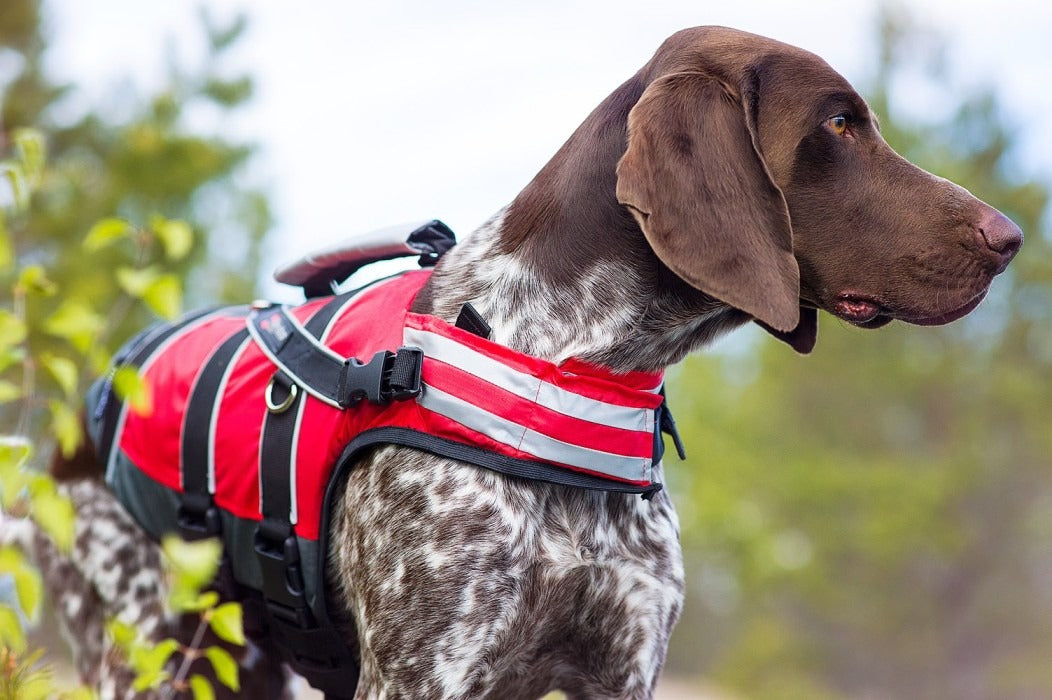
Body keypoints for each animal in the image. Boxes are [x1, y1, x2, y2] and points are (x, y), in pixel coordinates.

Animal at [16, 24, 1018, 694]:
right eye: (840, 124)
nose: (1009, 237)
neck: (571, 359)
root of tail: (82, 408)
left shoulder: (623, 666)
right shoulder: (422, 674)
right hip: (156, 649)